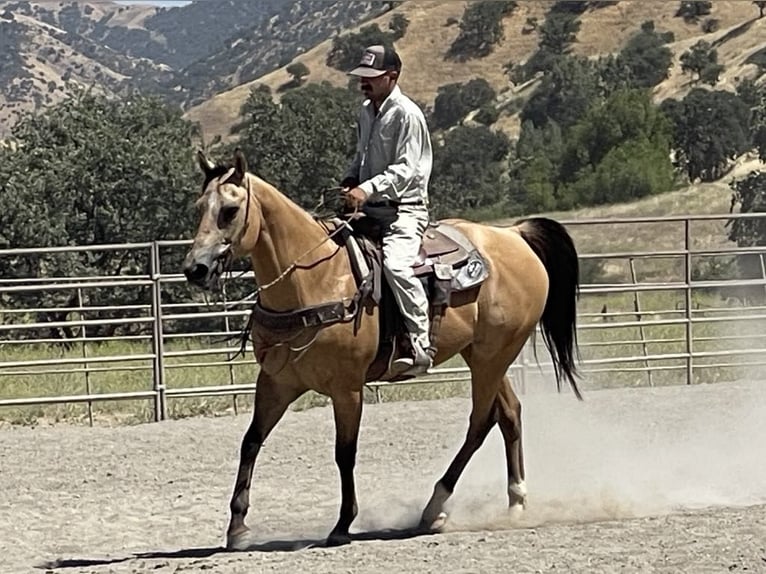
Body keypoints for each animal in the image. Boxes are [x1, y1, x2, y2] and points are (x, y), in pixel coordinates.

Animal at [182, 149, 583, 549]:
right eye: (199, 206)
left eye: (230, 210)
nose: (195, 269)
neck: (313, 279)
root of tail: (514, 235)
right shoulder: (276, 382)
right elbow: (251, 442)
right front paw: (237, 527)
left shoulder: (347, 388)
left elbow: (344, 452)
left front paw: (343, 523)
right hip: (484, 355)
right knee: (509, 414)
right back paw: (515, 502)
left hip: (493, 356)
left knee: (480, 422)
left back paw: (435, 507)